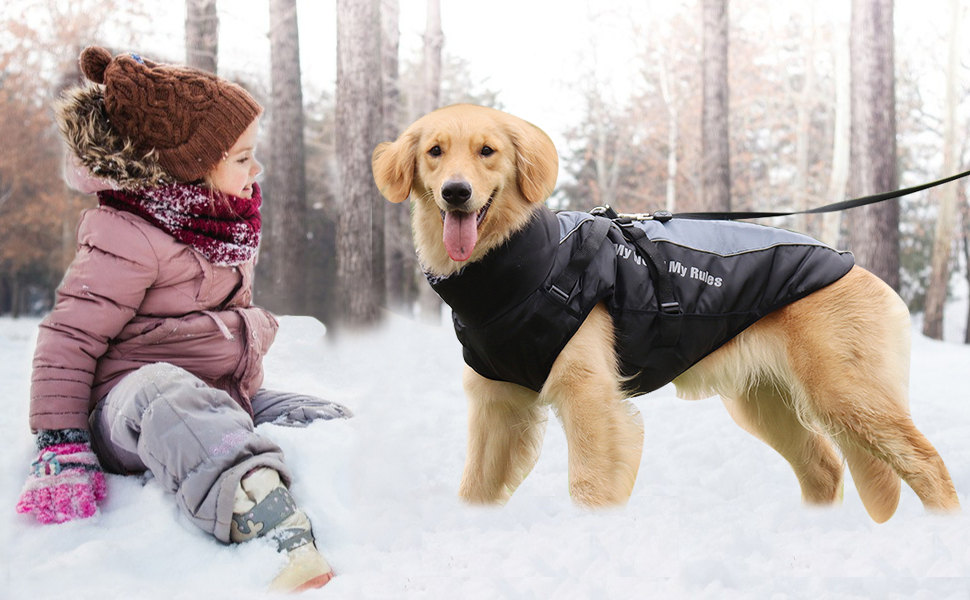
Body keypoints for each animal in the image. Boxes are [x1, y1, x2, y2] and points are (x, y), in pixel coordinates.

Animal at [372, 103, 960, 520]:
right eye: (435, 151)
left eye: (488, 151)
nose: (456, 192)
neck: (519, 268)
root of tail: (856, 266)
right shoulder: (496, 407)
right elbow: (473, 489)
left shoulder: (591, 401)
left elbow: (589, 488)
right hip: (764, 402)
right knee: (824, 467)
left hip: (848, 395)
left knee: (927, 463)